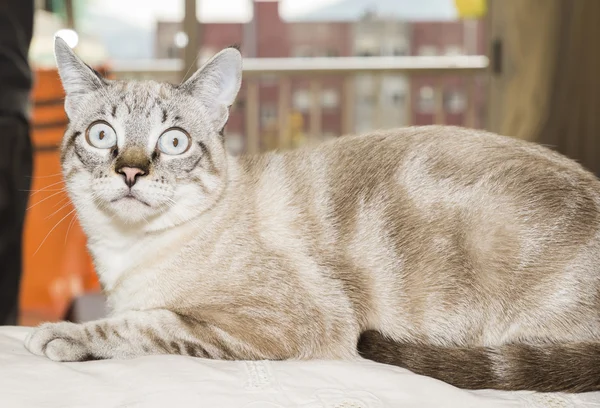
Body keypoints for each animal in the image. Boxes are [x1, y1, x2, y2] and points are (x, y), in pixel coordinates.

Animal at [25, 37, 600, 392]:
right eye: (102, 134)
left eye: (173, 141)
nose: (130, 172)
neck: (126, 252)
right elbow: (134, 318)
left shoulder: (267, 324)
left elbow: (143, 323)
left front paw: (59, 334)